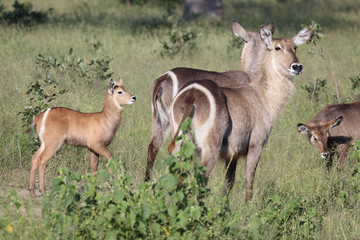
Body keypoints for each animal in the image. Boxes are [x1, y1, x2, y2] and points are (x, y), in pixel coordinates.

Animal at [167, 25, 310, 202]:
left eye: (295, 47)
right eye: (277, 47)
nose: (297, 66)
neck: (263, 96)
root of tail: (191, 95)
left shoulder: (231, 154)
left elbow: (229, 183)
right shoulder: (256, 144)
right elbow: (249, 180)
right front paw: (248, 206)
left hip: (181, 146)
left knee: (178, 178)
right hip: (209, 149)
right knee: (200, 181)